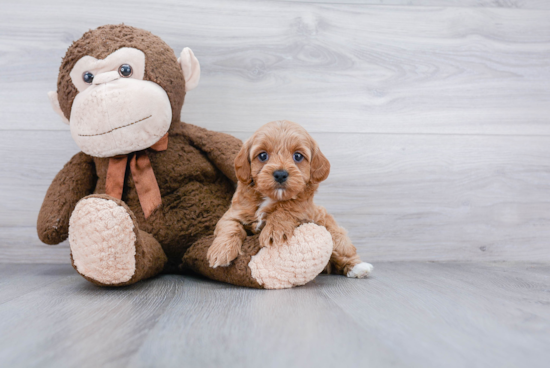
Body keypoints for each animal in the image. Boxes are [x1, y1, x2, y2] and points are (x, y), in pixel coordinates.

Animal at [208, 121, 376, 278]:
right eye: (262, 155)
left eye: (298, 156)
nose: (280, 174)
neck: (271, 197)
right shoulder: (234, 213)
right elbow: (230, 227)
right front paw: (221, 252)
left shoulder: (305, 210)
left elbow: (288, 208)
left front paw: (274, 231)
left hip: (333, 231)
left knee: (343, 252)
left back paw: (358, 267)